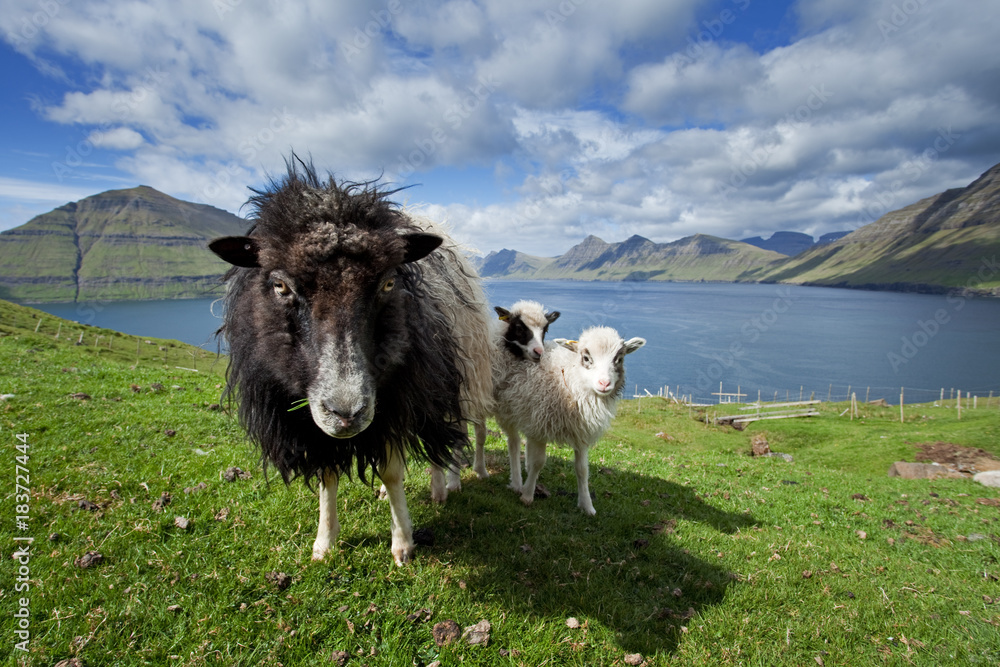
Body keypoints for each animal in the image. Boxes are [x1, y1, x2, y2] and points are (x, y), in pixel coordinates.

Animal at [208, 158, 493, 566]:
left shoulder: (397, 400)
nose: (346, 413)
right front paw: (324, 542)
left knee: (451, 435)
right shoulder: (310, 422)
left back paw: (444, 486)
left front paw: (402, 543)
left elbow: (392, 471)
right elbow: (328, 477)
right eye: (280, 286)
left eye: (388, 283)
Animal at [493, 326, 645, 515]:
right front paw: (527, 496)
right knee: (508, 442)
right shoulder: (540, 426)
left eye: (619, 359)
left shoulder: (580, 433)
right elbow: (538, 462)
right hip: (504, 410)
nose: (604, 384)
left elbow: (582, 470)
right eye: (586, 358)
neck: (568, 378)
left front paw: (587, 505)